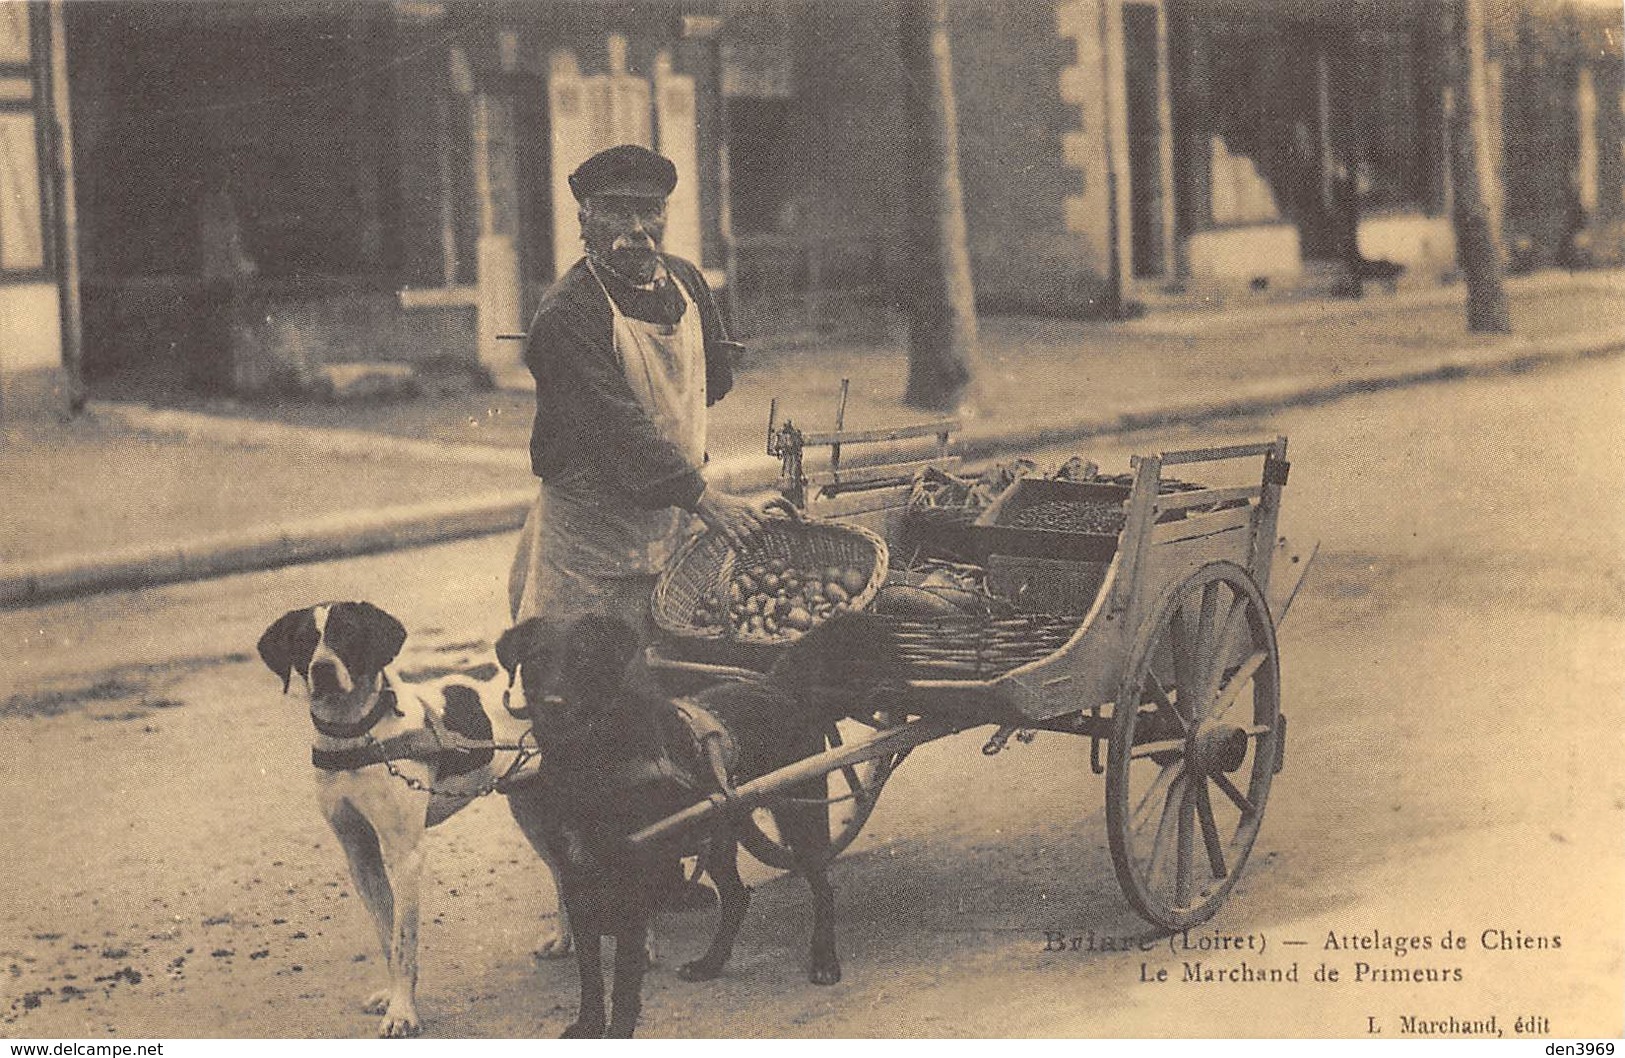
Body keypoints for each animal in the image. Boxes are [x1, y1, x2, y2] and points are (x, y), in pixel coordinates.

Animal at [494, 607, 903, 1040]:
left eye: (584, 658)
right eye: (535, 660)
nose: (552, 705)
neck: (591, 763)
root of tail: (777, 684)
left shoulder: (633, 879)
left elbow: (623, 975)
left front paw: (617, 1030)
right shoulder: (576, 877)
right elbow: (589, 970)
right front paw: (588, 1025)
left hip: (800, 813)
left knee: (823, 887)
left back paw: (824, 960)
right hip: (721, 828)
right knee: (738, 897)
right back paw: (711, 962)